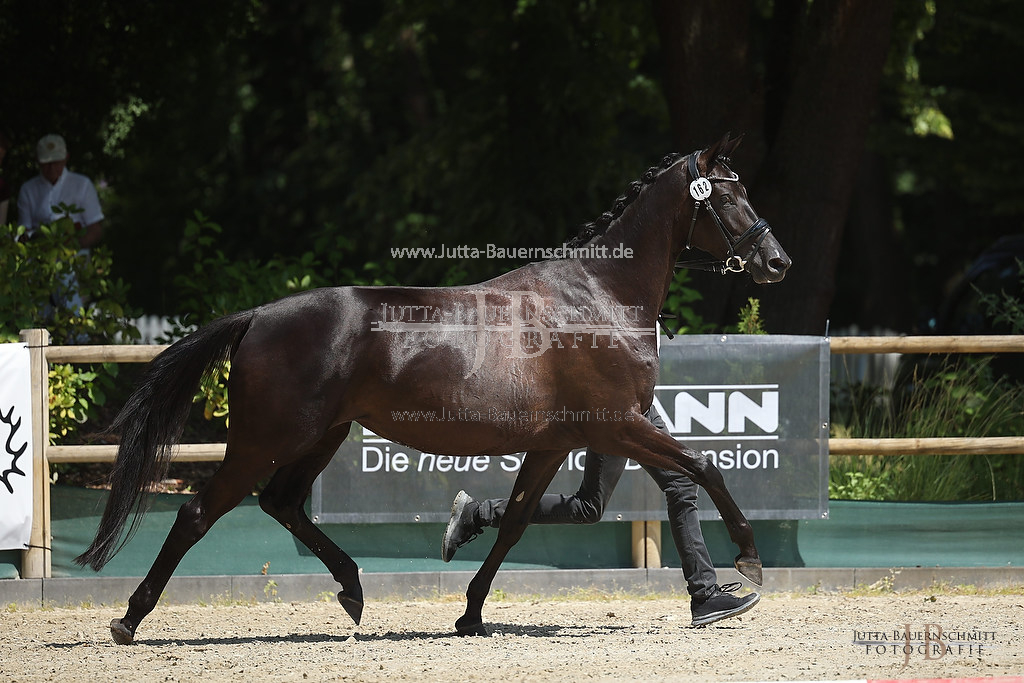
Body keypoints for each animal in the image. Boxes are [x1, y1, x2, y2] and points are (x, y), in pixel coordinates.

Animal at [79, 135, 790, 647]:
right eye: (731, 197)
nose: (775, 262)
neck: (598, 298)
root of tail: (255, 317)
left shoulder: (557, 442)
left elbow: (517, 522)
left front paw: (471, 612)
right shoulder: (620, 424)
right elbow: (705, 468)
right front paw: (747, 570)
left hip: (322, 435)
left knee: (281, 503)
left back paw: (353, 590)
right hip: (266, 439)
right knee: (200, 512)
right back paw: (128, 619)